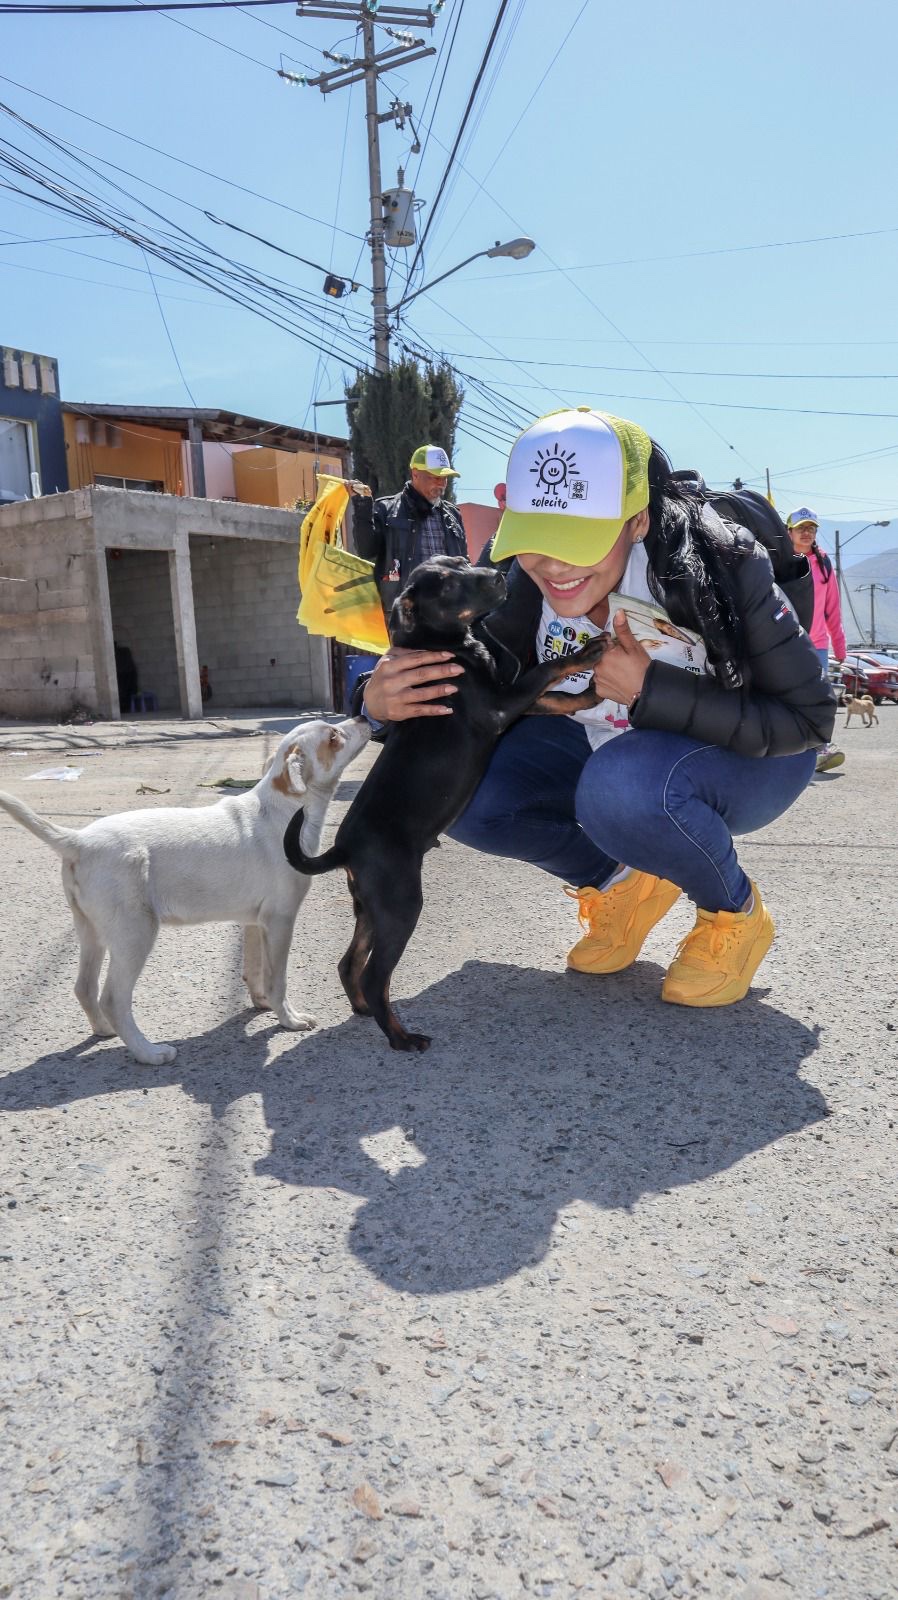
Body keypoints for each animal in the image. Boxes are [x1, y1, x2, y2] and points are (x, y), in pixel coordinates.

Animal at [0, 720, 368, 1068]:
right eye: (333, 737)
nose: (363, 716)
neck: (285, 809)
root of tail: (78, 841)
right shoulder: (280, 921)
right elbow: (278, 979)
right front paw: (288, 1020)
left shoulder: (254, 922)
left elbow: (253, 970)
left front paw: (261, 1003)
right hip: (135, 934)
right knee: (113, 998)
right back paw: (147, 1052)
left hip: (92, 931)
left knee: (84, 987)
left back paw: (105, 1029)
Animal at [284, 556, 608, 1056]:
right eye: (451, 584)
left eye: (462, 563)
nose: (499, 575)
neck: (446, 646)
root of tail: (344, 849)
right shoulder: (498, 705)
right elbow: (543, 675)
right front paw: (587, 655)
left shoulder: (509, 699)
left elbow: (551, 696)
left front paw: (590, 694)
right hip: (401, 901)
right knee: (376, 974)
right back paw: (401, 1037)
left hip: (372, 906)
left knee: (349, 963)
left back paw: (364, 1010)